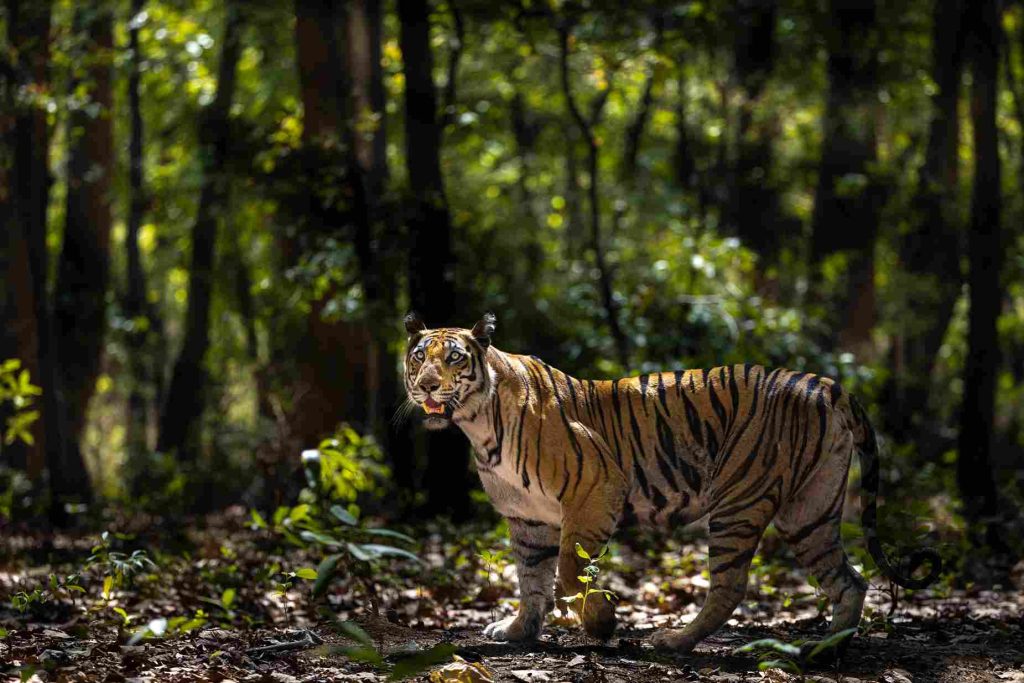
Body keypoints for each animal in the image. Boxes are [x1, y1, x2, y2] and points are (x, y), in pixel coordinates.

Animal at [402, 311, 941, 651]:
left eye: (454, 359)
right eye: (419, 357)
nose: (426, 385)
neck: (477, 425)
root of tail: (821, 381)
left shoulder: (595, 489)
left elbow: (568, 575)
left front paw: (602, 623)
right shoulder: (526, 518)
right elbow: (531, 581)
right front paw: (518, 630)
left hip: (738, 502)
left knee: (730, 585)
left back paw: (676, 641)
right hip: (810, 511)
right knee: (850, 581)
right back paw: (828, 649)